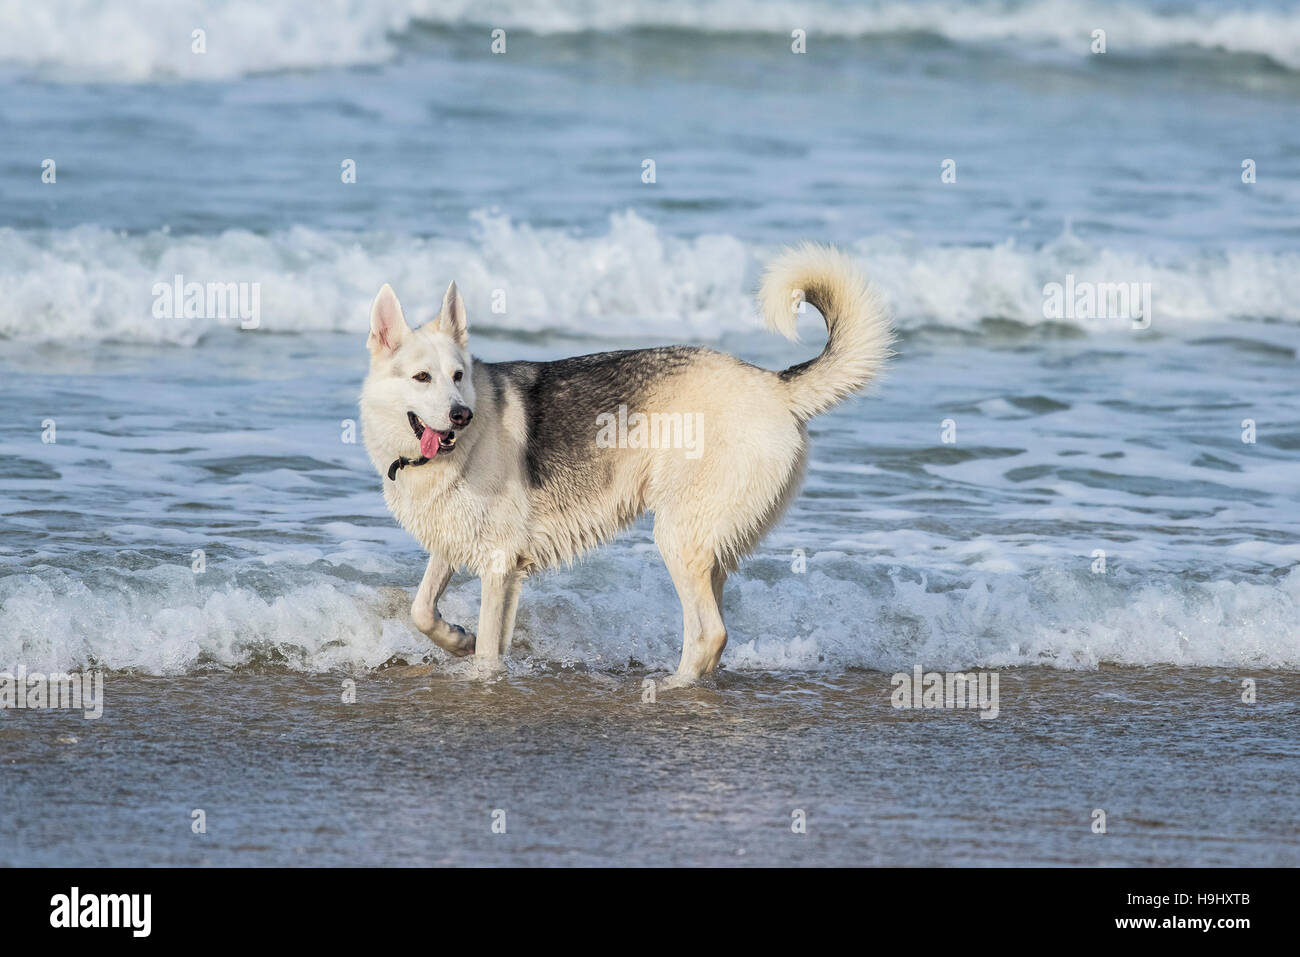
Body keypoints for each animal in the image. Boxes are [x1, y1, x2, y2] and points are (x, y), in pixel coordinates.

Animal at [364, 244, 894, 681]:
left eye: (458, 375)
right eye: (422, 377)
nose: (461, 414)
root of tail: (773, 384)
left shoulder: (500, 566)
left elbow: (489, 652)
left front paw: (480, 675)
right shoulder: (453, 541)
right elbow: (422, 610)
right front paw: (457, 638)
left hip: (677, 537)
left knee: (710, 633)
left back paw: (674, 687)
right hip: (710, 548)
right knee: (712, 630)